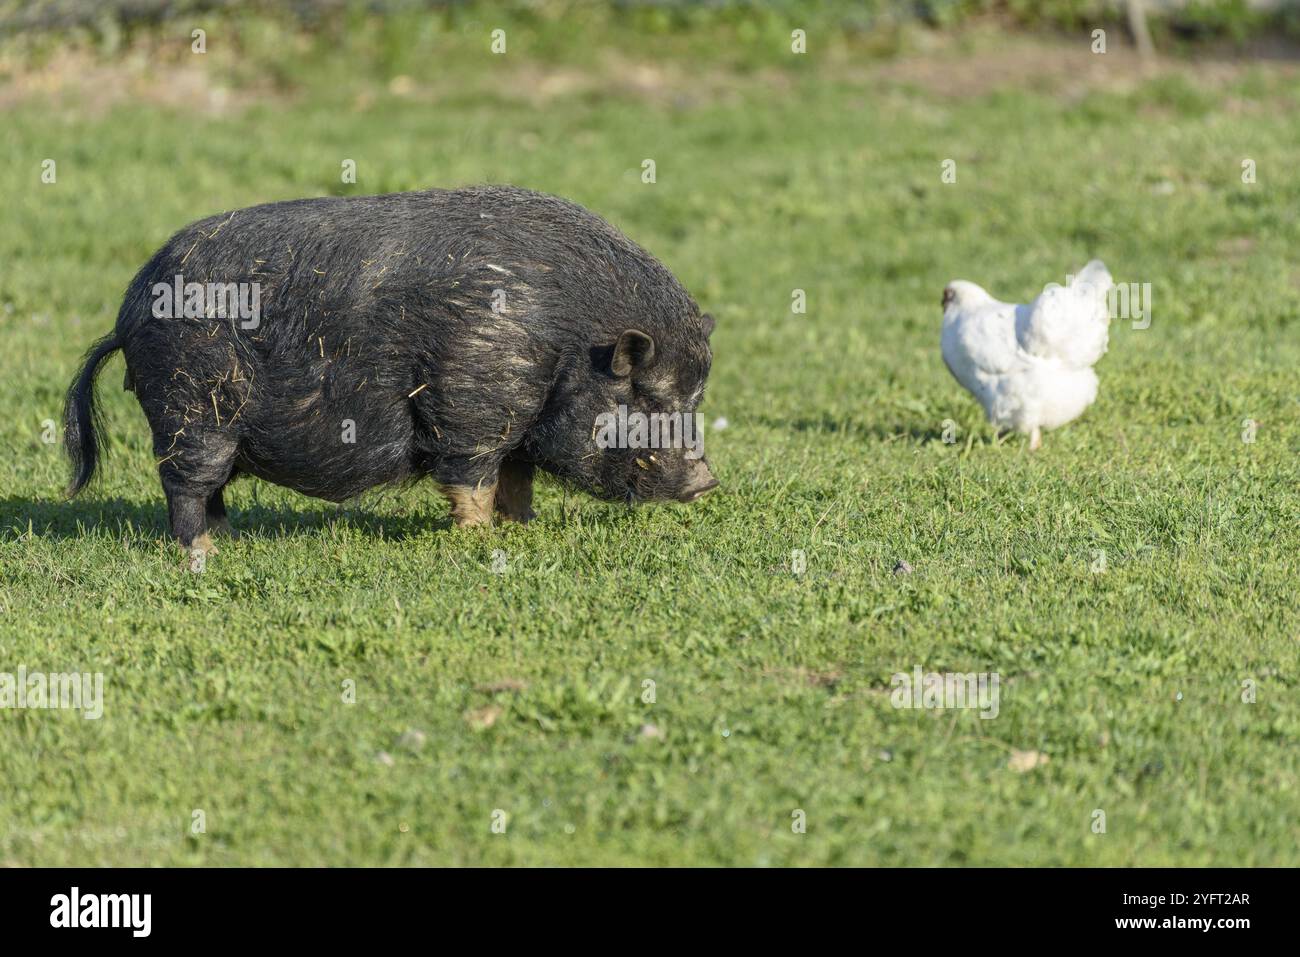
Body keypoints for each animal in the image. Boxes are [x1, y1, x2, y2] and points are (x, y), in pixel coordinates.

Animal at [65, 184, 722, 553]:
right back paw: (202, 554)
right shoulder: (471, 403)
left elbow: (517, 479)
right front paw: (477, 542)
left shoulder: (516, 423)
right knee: (185, 483)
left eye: (696, 398)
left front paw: (522, 529)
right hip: (192, 408)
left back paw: (230, 539)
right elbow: (472, 481)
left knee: (213, 487)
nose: (708, 481)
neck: (567, 339)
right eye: (647, 395)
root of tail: (126, 312)